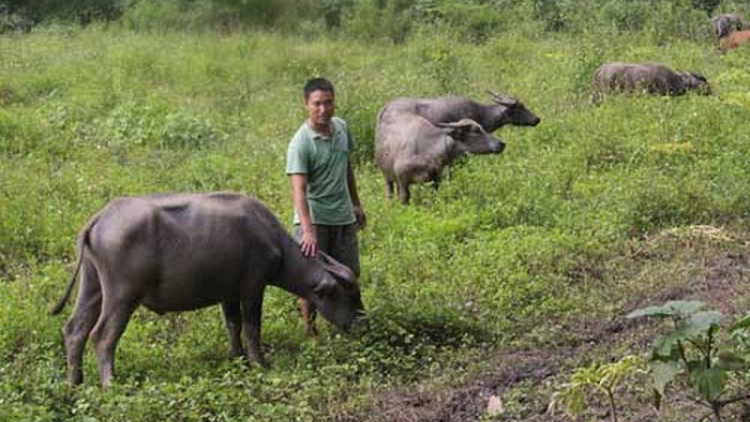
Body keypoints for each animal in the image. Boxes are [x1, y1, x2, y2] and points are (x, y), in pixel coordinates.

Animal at [52, 193, 364, 388]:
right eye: (349, 295)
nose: (362, 321)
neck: (271, 239)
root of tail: (100, 218)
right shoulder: (253, 288)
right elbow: (252, 327)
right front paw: (259, 362)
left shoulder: (229, 294)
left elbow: (233, 325)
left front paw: (238, 358)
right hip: (122, 295)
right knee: (102, 336)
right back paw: (110, 383)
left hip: (93, 286)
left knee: (75, 330)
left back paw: (75, 383)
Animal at [376, 112, 506, 204]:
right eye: (476, 130)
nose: (501, 144)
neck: (428, 148)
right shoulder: (403, 180)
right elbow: (404, 200)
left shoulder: (436, 180)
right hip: (387, 177)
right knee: (390, 195)